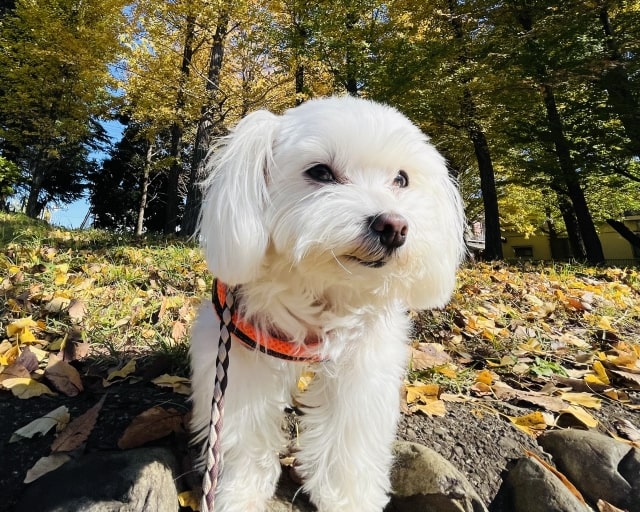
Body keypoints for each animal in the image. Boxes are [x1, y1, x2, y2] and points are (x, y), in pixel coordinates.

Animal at [190, 96, 465, 512]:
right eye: (320, 172)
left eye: (401, 179)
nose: (393, 226)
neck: (322, 285)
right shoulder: (239, 350)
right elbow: (244, 427)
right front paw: (240, 492)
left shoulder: (362, 361)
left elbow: (349, 433)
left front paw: (349, 498)